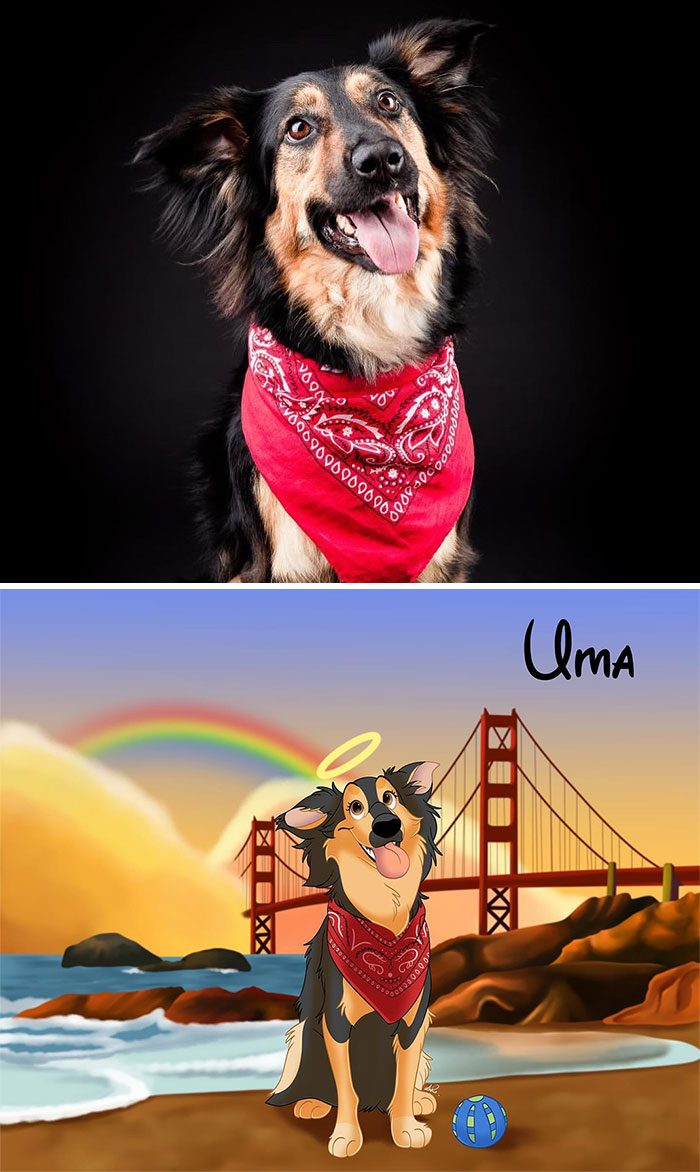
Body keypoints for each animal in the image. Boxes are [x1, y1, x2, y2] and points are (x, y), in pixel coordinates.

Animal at [264, 759, 438, 1153]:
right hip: (304, 1036)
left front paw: (406, 1127)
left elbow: (403, 1080)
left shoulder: (414, 1020)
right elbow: (347, 1089)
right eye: (354, 807)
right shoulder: (336, 1020)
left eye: (390, 797)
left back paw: (420, 1098)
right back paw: (310, 1102)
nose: (386, 824)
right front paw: (346, 1136)